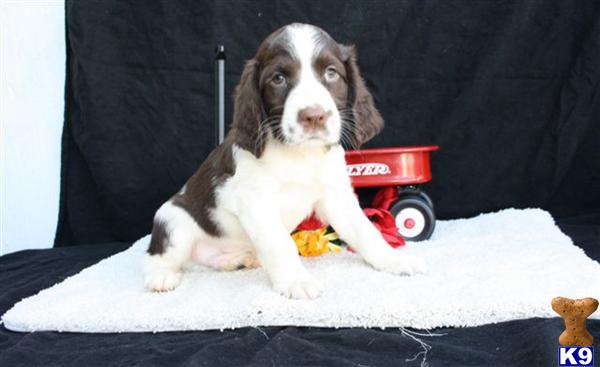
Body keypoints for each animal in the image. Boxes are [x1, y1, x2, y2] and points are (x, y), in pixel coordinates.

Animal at [144, 22, 426, 300]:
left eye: (331, 73)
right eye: (278, 79)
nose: (314, 116)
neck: (300, 155)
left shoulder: (335, 195)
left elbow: (365, 230)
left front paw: (393, 260)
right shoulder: (255, 201)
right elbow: (280, 244)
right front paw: (296, 281)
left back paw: (239, 259)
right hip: (172, 220)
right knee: (158, 255)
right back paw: (162, 276)